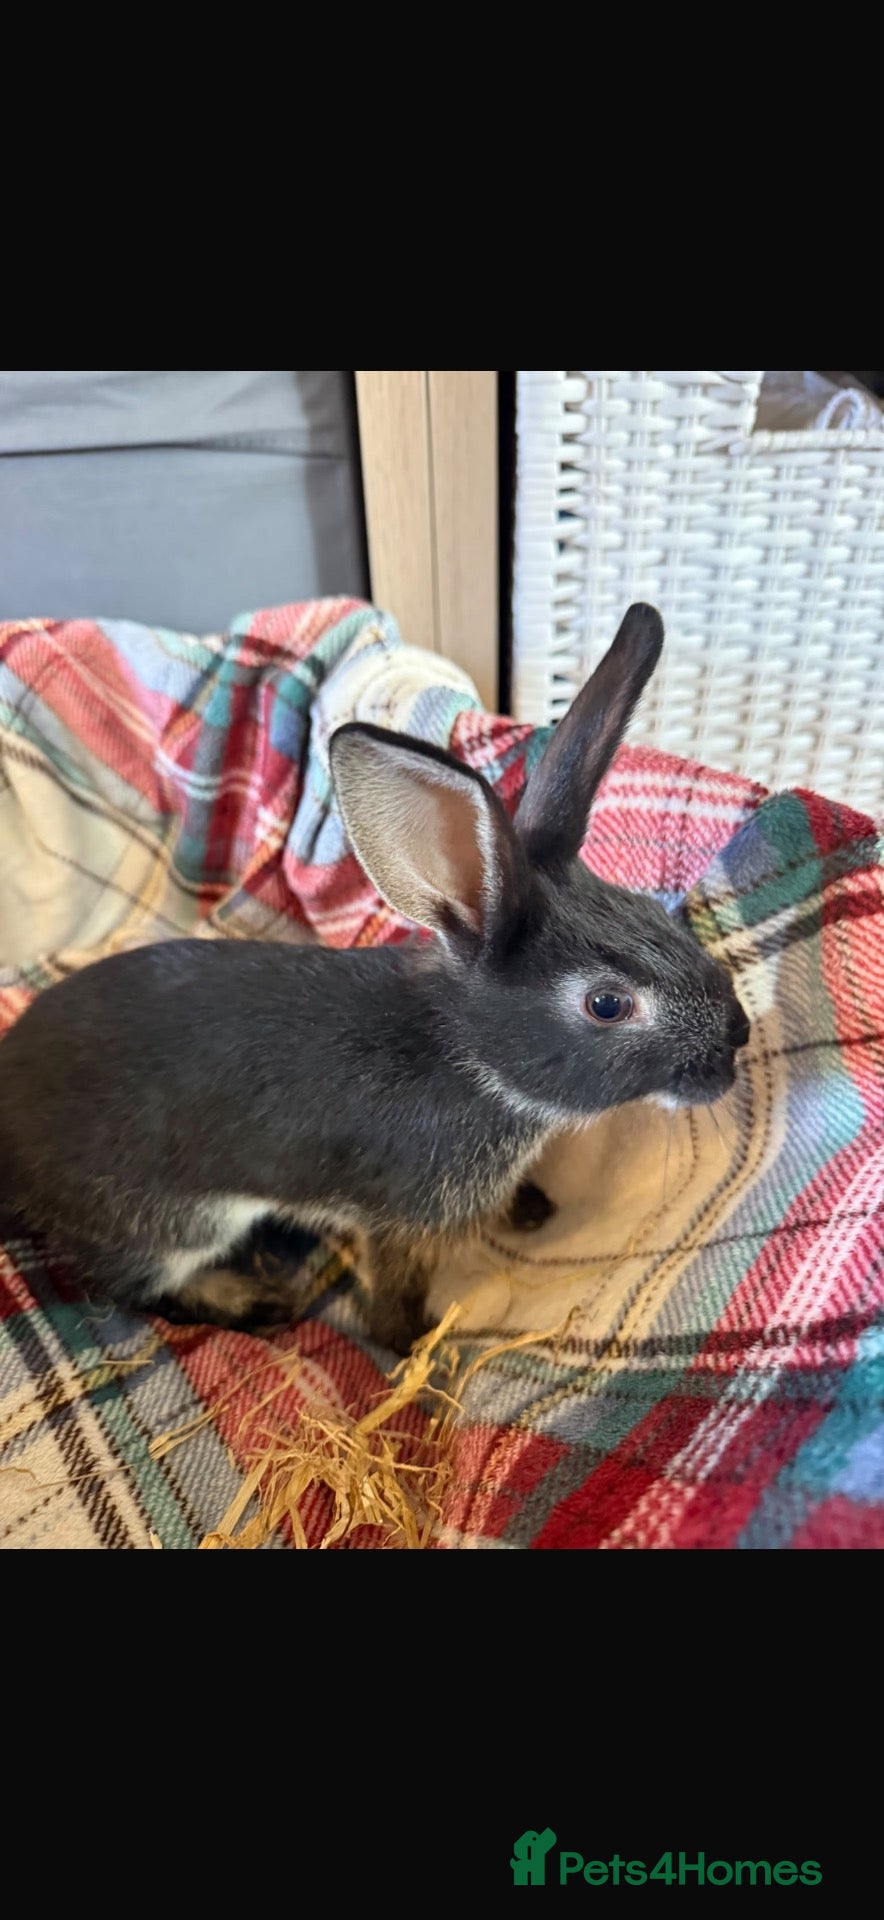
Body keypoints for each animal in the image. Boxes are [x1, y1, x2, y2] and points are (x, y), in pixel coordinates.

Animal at [0, 604, 749, 1354]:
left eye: (648, 909)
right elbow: (395, 1286)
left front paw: (527, 1208)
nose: (737, 1037)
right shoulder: (400, 1215)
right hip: (174, 1223)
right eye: (607, 1004)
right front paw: (412, 1343)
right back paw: (253, 1301)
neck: (470, 1057)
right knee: (136, 1287)